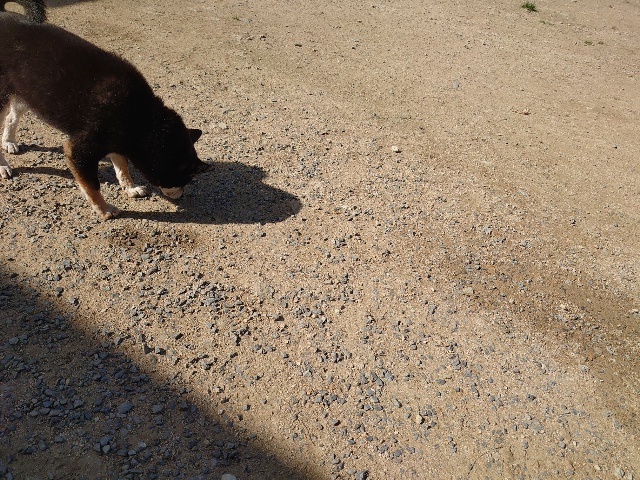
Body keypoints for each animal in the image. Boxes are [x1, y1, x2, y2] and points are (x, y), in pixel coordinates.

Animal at [0, 2, 209, 219]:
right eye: (184, 180)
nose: (181, 195)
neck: (143, 119)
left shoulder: (118, 141)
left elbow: (122, 167)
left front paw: (130, 188)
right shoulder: (80, 152)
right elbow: (93, 186)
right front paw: (104, 209)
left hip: (27, 93)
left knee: (11, 117)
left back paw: (8, 141)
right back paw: (3, 166)